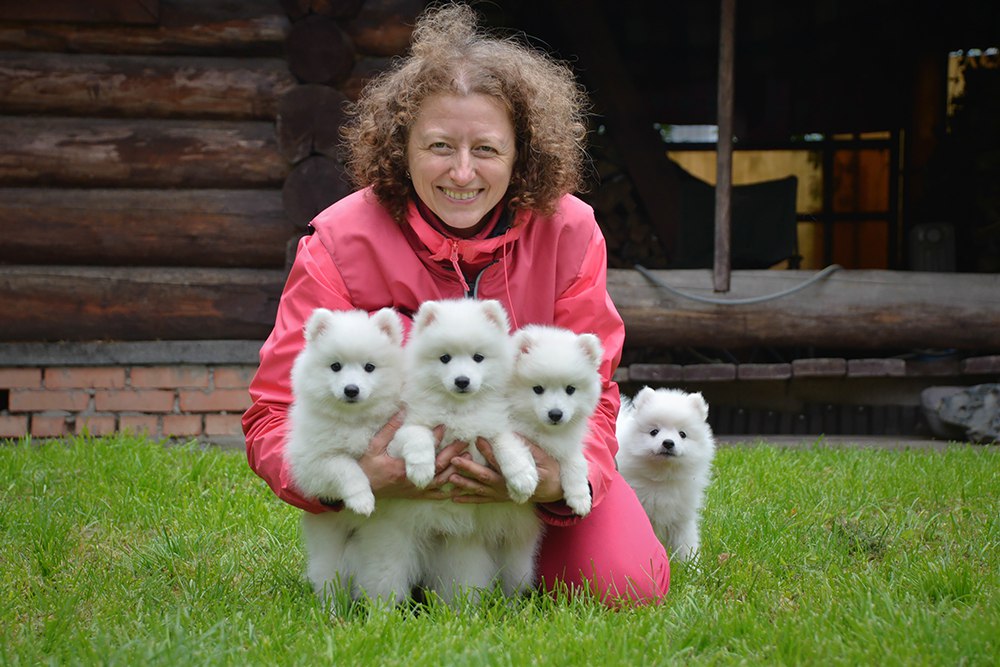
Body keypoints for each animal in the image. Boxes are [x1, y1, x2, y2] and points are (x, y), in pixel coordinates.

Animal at [612, 386, 716, 564]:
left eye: (682, 434)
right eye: (654, 431)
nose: (668, 442)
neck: (661, 478)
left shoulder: (681, 517)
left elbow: (686, 544)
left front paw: (692, 567)